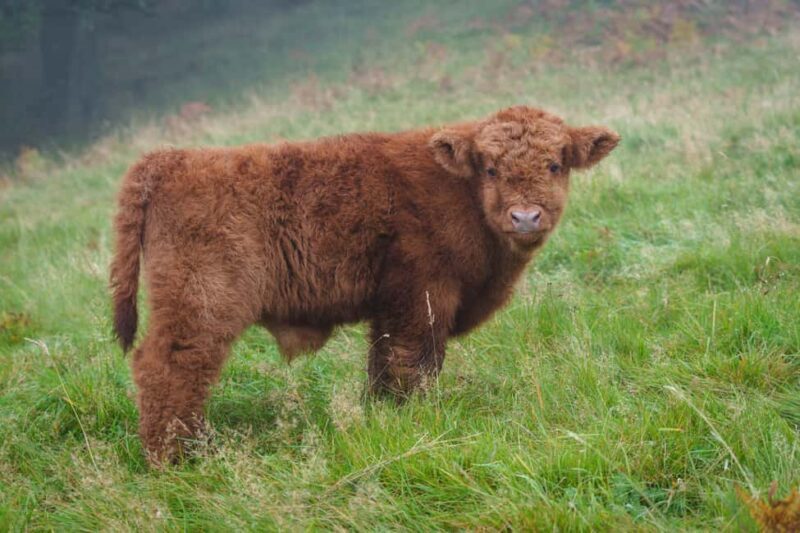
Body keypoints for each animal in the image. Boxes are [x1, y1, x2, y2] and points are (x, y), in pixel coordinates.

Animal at [109, 105, 620, 462]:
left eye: (555, 164)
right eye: (490, 167)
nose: (525, 216)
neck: (461, 194)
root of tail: (170, 159)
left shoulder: (392, 310)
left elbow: (383, 366)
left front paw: (381, 416)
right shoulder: (421, 297)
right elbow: (411, 364)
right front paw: (414, 418)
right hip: (202, 305)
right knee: (171, 367)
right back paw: (180, 457)